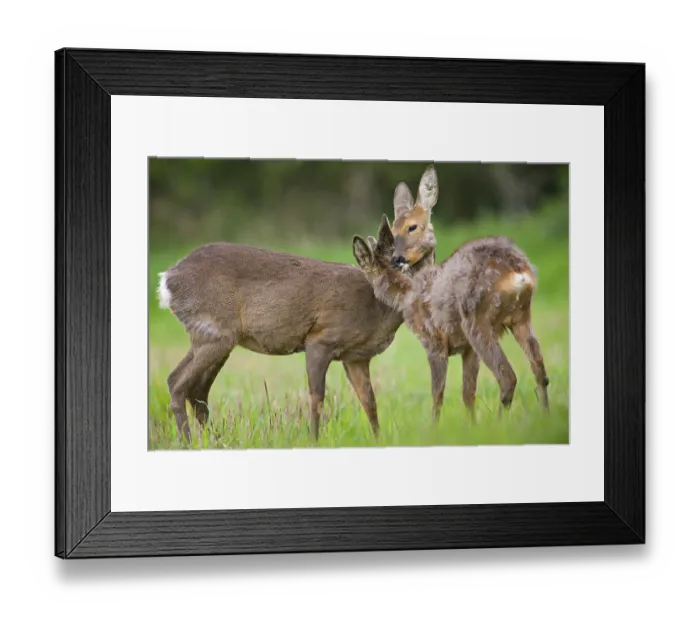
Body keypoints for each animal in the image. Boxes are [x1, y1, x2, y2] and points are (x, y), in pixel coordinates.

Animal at [157, 166, 441, 443]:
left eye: (414, 227)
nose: (401, 261)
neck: (377, 311)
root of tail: (167, 279)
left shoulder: (357, 357)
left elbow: (370, 403)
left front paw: (378, 439)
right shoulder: (319, 338)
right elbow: (317, 397)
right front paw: (313, 440)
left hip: (213, 337)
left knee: (195, 389)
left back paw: (215, 440)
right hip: (214, 332)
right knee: (178, 383)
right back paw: (188, 442)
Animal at [352, 213, 550, 423]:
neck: (405, 294)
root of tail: (517, 271)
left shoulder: (433, 340)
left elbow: (437, 393)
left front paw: (433, 426)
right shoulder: (468, 349)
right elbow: (468, 393)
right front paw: (472, 425)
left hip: (476, 320)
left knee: (508, 377)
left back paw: (500, 424)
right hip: (521, 316)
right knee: (540, 371)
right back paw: (546, 417)